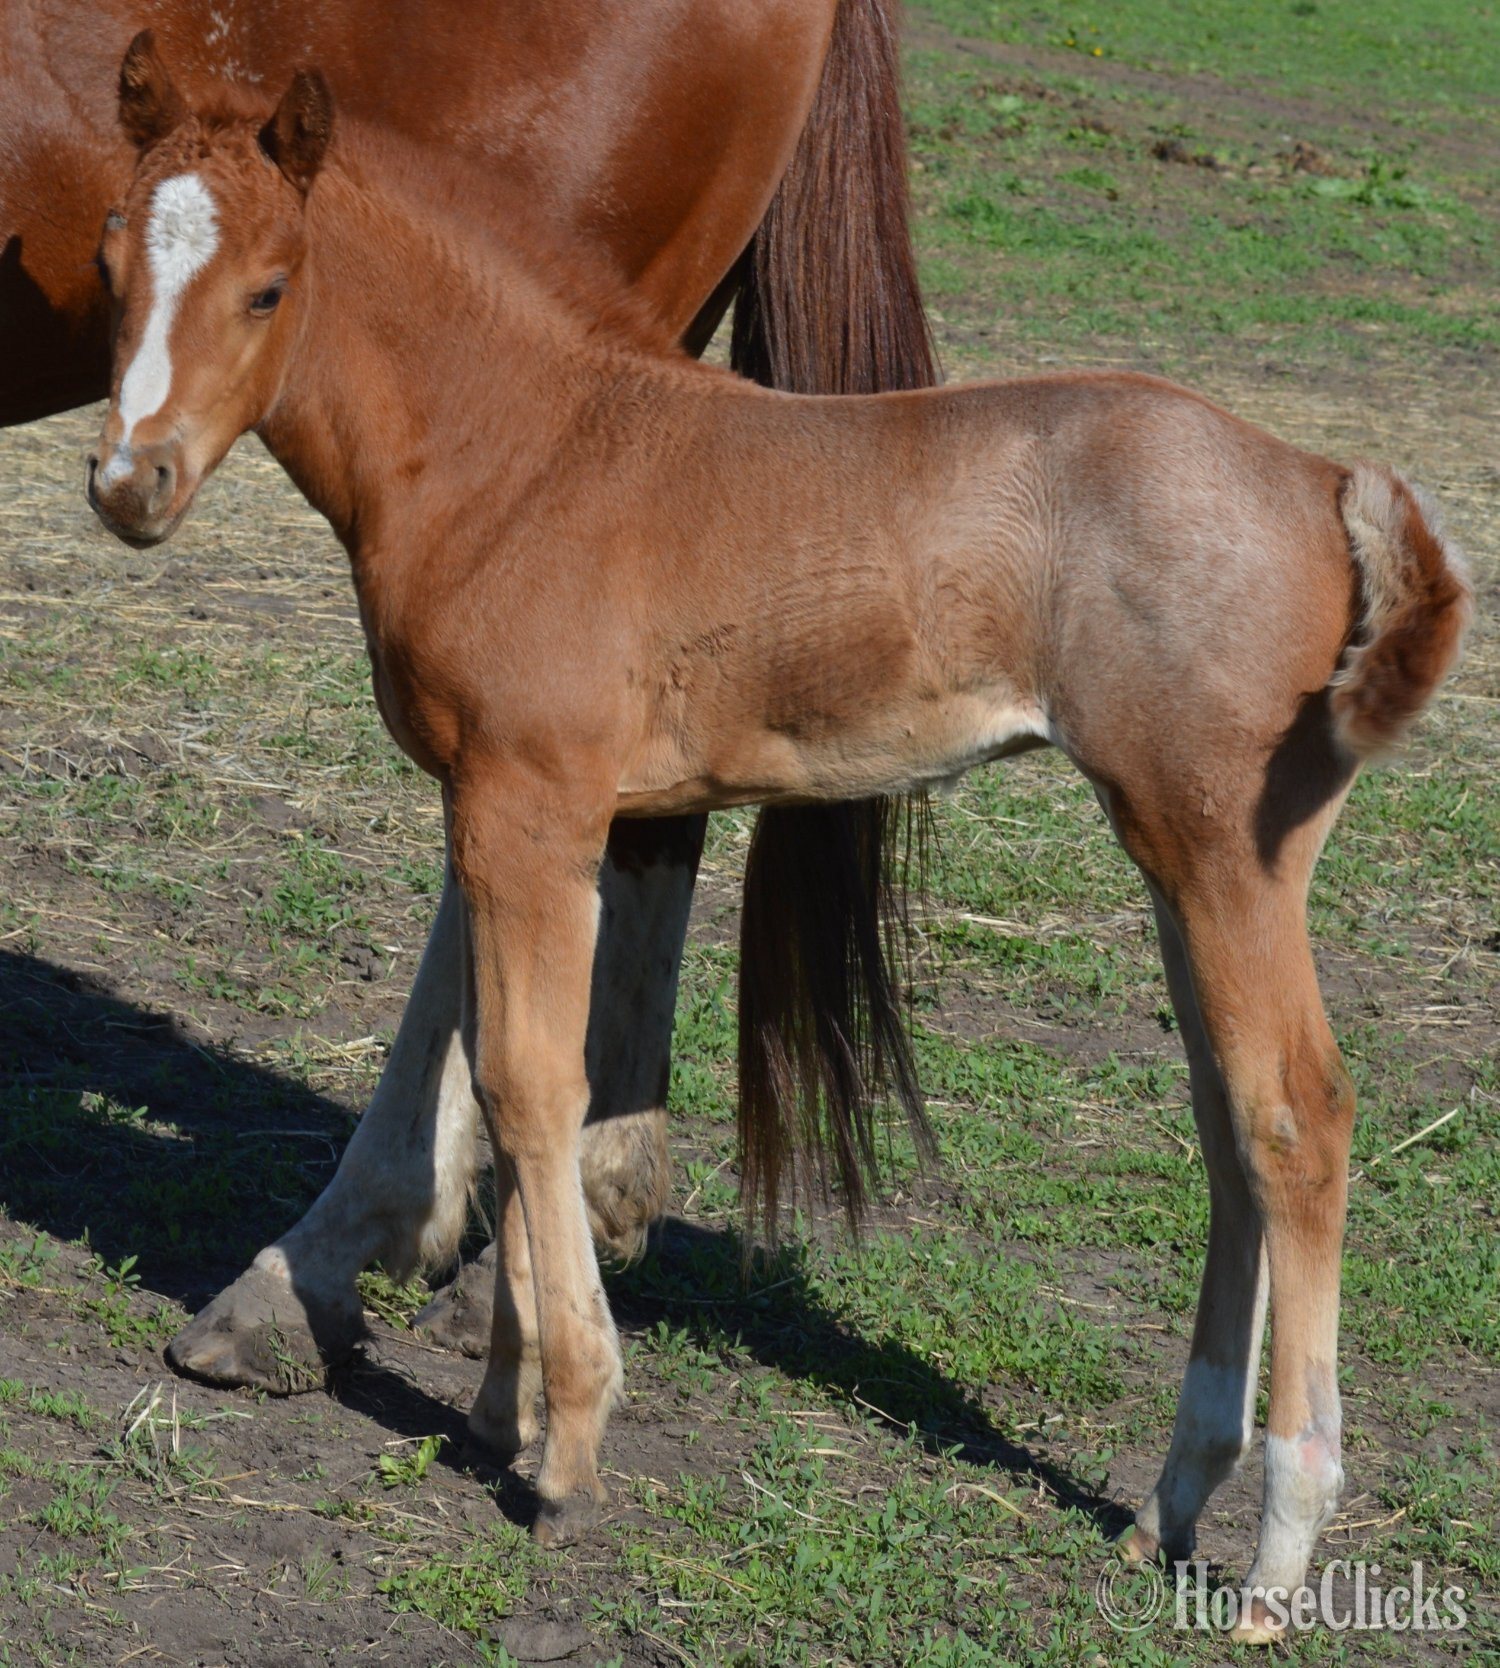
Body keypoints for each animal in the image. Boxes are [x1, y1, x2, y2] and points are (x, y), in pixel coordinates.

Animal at [85, 45, 1471, 1638]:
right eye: (112, 259)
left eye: (268, 287)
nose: (129, 485)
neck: (528, 450)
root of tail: (1322, 479)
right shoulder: (527, 812)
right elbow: (508, 1086)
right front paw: (504, 1402)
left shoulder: (530, 803)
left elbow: (532, 1087)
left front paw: (566, 1447)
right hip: (1178, 857)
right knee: (1226, 1131)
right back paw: (1171, 1503)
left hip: (1229, 852)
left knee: (1295, 1120)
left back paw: (1278, 1558)